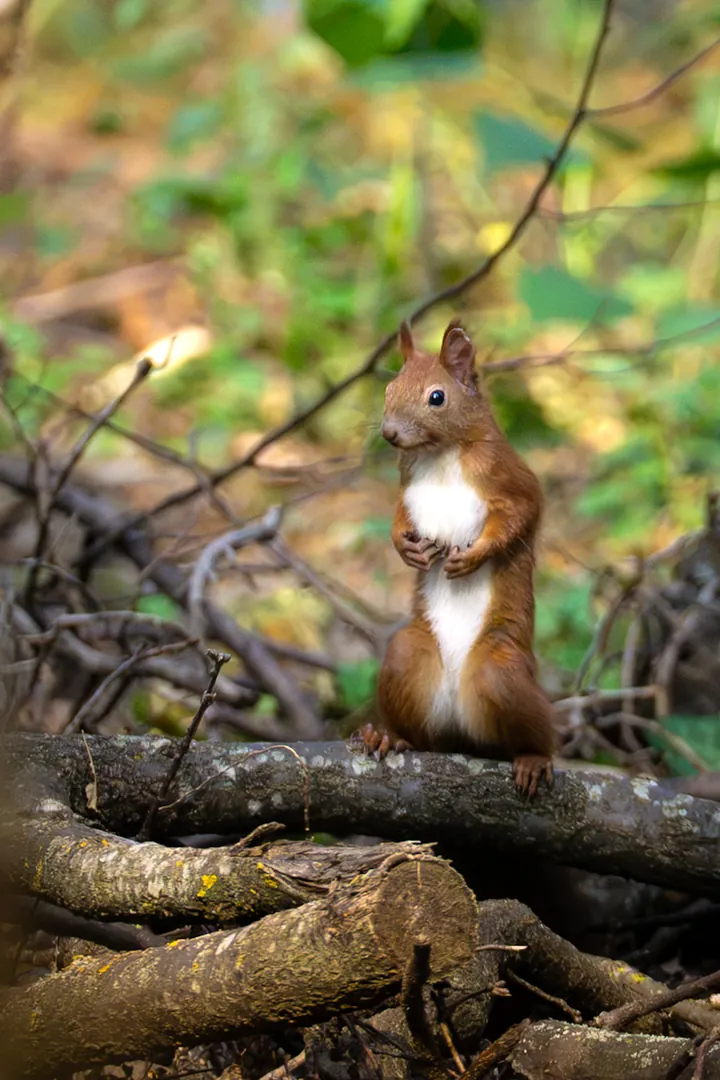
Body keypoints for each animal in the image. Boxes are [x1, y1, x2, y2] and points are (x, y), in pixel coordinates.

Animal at [360, 319, 556, 797]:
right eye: (389, 387)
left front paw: (473, 557)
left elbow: (520, 515)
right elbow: (399, 516)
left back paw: (533, 758)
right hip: (407, 658)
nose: (389, 433)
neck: (441, 454)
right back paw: (390, 737)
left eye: (437, 397)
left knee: (536, 733)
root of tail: (459, 727)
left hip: (501, 670)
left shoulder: (511, 478)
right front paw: (405, 548)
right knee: (422, 734)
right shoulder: (407, 483)